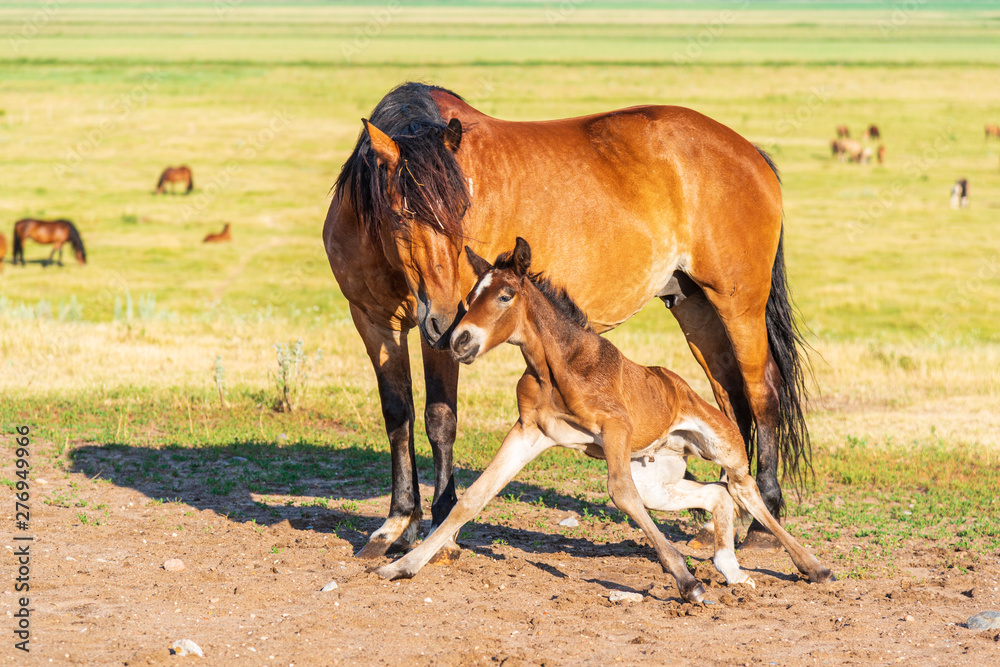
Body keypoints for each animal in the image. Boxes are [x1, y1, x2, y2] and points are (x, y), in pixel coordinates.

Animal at [324, 82, 811, 561]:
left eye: (462, 210)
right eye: (402, 215)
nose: (444, 320)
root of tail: (748, 151)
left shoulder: (440, 336)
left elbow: (440, 418)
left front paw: (442, 531)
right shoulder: (373, 322)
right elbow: (398, 415)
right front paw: (396, 524)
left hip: (738, 305)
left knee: (761, 393)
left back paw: (764, 523)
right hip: (695, 306)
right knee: (731, 400)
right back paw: (727, 520)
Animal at [374, 239, 834, 602]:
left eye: (505, 295)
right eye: (471, 296)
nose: (459, 341)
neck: (556, 369)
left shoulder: (615, 429)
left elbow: (619, 493)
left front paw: (688, 583)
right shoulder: (529, 432)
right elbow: (474, 497)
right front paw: (402, 566)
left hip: (723, 447)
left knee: (745, 491)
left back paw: (813, 567)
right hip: (657, 478)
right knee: (715, 495)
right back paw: (731, 569)